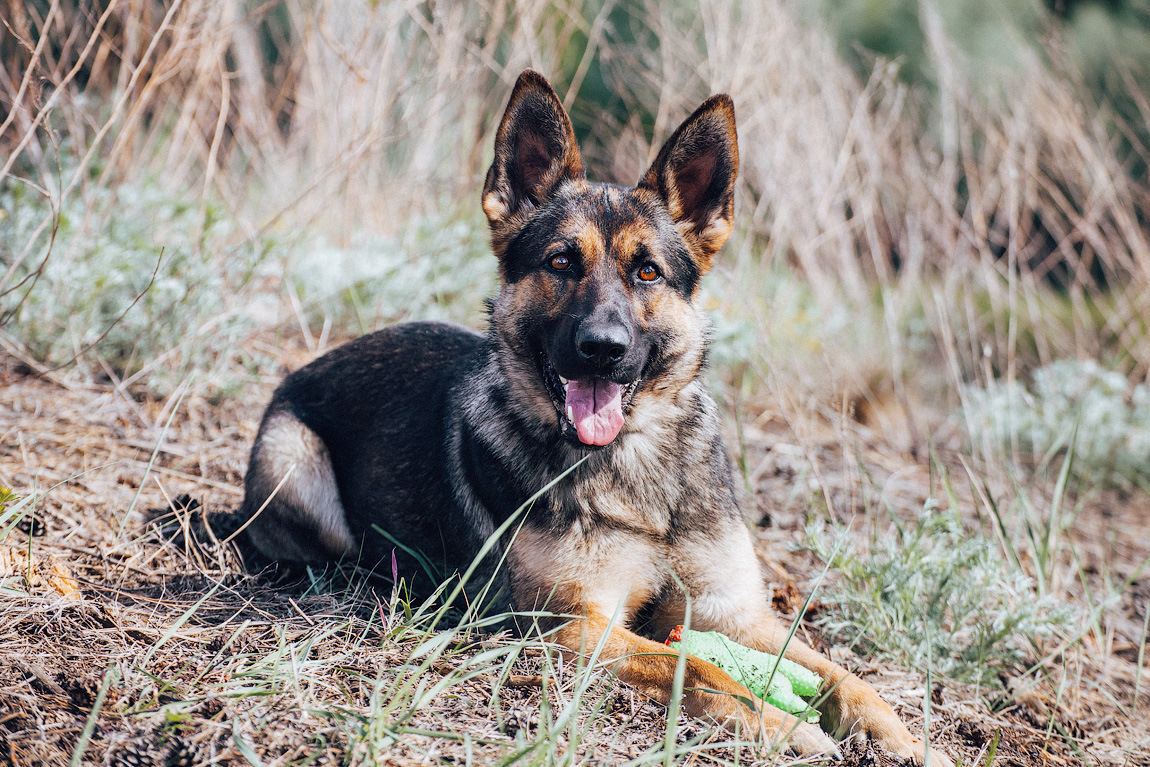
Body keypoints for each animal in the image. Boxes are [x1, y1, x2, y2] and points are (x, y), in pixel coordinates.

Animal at [240, 68, 952, 763]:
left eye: (647, 273)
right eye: (561, 262)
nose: (602, 349)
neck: (634, 464)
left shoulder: (736, 613)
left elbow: (845, 676)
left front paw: (903, 737)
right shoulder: (575, 626)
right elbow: (698, 669)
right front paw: (781, 723)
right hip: (295, 462)